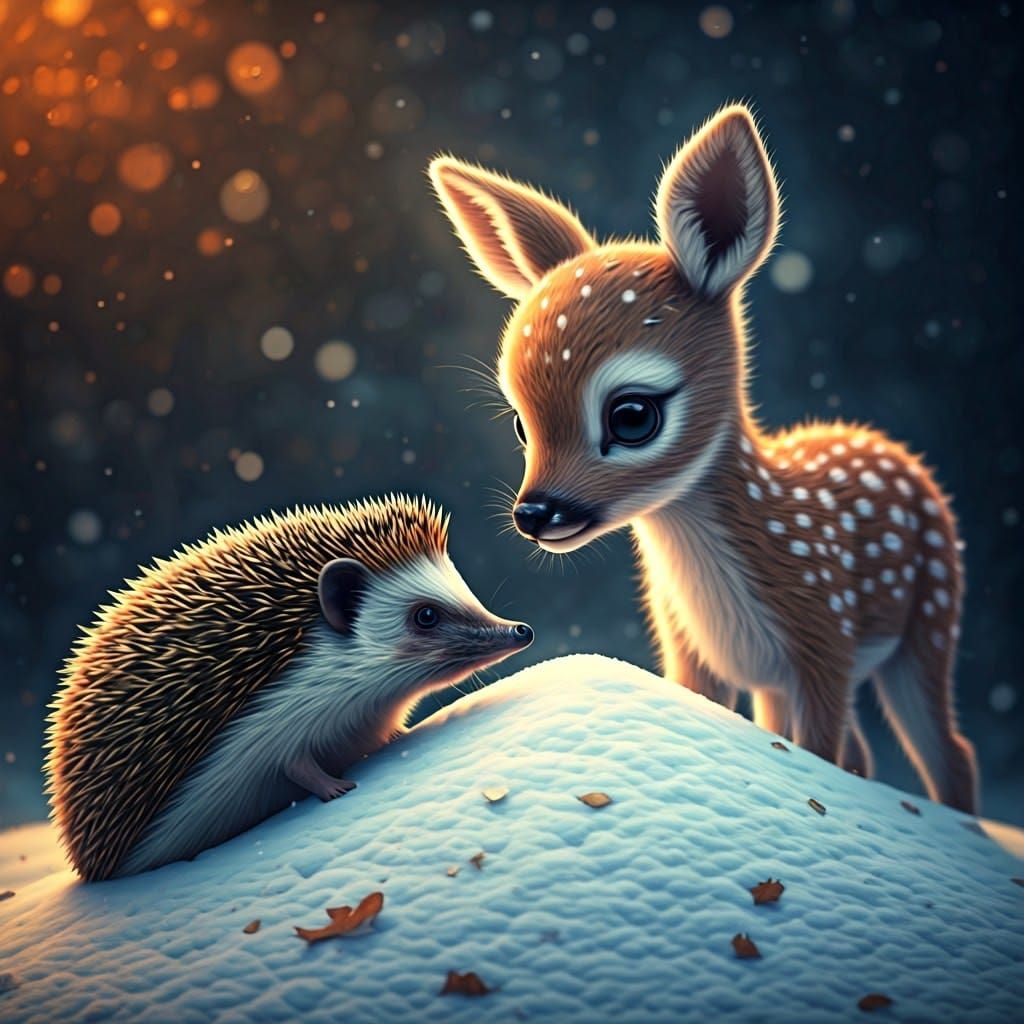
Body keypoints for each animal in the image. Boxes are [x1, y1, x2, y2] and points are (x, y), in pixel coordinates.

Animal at [429, 103, 978, 813]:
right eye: (522, 423)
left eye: (632, 415)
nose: (535, 513)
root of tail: (899, 452)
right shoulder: (689, 649)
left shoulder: (825, 639)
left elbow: (823, 754)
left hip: (930, 617)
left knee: (948, 750)